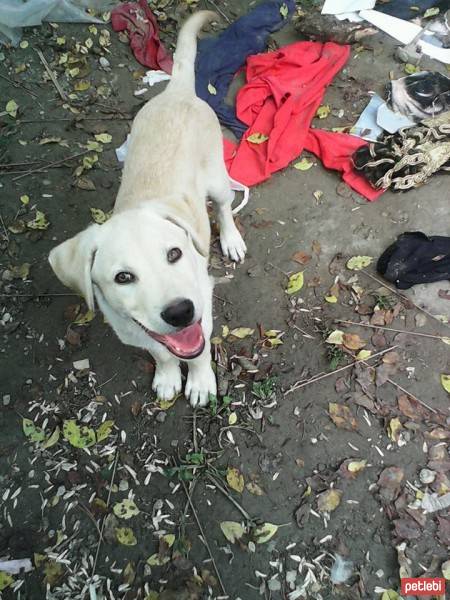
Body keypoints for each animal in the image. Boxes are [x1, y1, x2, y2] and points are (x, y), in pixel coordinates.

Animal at [48, 12, 246, 408]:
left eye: (175, 254)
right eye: (123, 277)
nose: (180, 312)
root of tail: (177, 91)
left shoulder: (203, 310)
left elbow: (199, 351)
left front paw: (200, 382)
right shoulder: (135, 330)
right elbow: (161, 352)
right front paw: (168, 376)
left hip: (217, 178)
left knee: (224, 206)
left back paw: (231, 239)